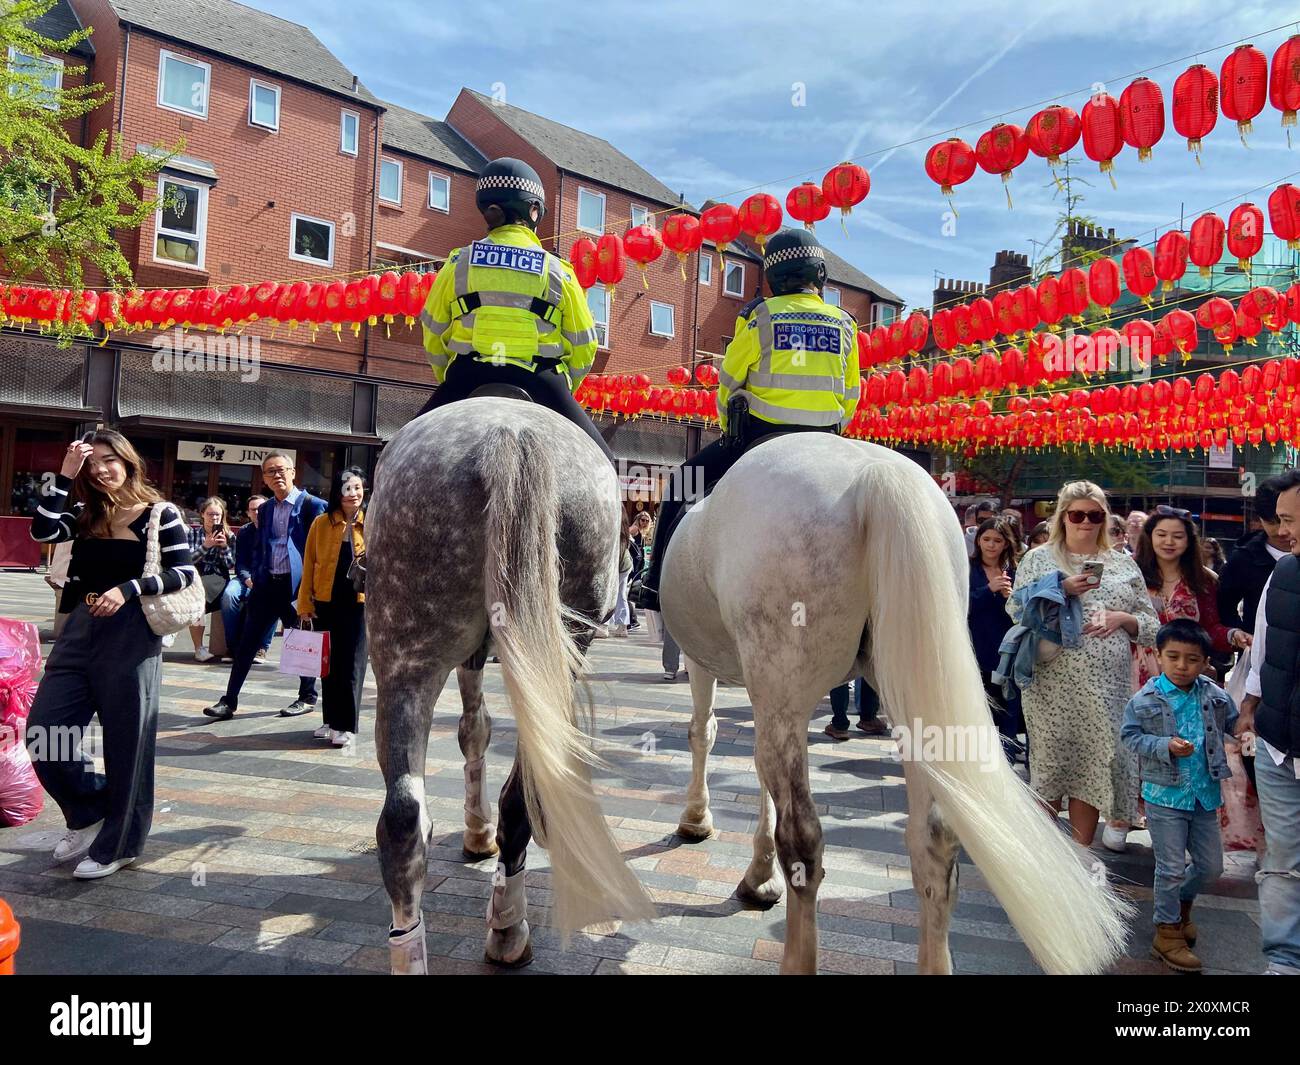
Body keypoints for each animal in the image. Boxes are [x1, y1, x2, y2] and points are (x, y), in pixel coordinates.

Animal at [364, 397, 650, 972]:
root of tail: (509, 435)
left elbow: (474, 728)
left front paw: (475, 833)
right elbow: (477, 731)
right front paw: (479, 835)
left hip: (405, 642)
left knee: (404, 819)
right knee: (514, 798)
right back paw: (508, 930)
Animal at [660, 431, 1128, 972]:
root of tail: (873, 475)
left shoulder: (714, 666)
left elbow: (704, 732)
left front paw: (697, 821)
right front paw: (758, 877)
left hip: (787, 679)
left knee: (804, 840)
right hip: (908, 685)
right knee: (933, 841)